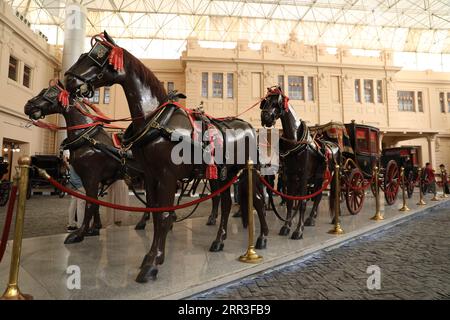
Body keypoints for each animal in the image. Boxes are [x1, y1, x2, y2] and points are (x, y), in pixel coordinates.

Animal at [24, 82, 144, 242]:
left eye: (49, 93)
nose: (27, 106)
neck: (87, 138)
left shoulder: (91, 177)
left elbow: (90, 203)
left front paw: (80, 234)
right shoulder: (92, 179)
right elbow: (96, 203)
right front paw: (94, 228)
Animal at [63, 31, 268, 282]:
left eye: (99, 56)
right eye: (85, 53)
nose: (68, 81)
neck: (157, 120)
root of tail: (248, 127)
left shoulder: (167, 176)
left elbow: (162, 215)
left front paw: (152, 262)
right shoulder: (150, 175)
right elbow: (154, 210)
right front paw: (153, 256)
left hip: (248, 171)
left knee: (257, 199)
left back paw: (262, 238)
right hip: (222, 174)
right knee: (227, 203)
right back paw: (219, 240)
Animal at [258, 86, 340, 239]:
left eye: (276, 102)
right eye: (265, 101)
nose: (265, 118)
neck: (295, 142)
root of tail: (335, 145)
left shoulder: (303, 176)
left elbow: (302, 202)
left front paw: (298, 230)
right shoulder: (290, 176)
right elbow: (290, 201)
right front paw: (286, 227)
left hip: (330, 176)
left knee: (329, 195)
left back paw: (332, 219)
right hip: (319, 177)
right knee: (318, 196)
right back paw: (311, 218)